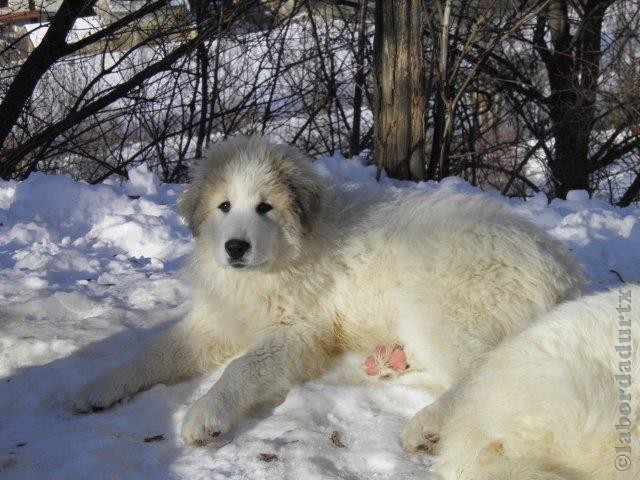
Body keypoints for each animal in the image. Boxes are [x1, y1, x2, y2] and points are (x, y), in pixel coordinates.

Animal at [72, 135, 584, 446]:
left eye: (265, 207)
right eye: (224, 206)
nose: (236, 247)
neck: (280, 261)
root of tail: (561, 272)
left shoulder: (299, 331)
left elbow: (242, 366)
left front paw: (206, 412)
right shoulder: (219, 319)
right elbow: (152, 350)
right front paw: (98, 386)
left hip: (439, 307)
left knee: (479, 373)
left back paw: (430, 426)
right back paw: (388, 360)